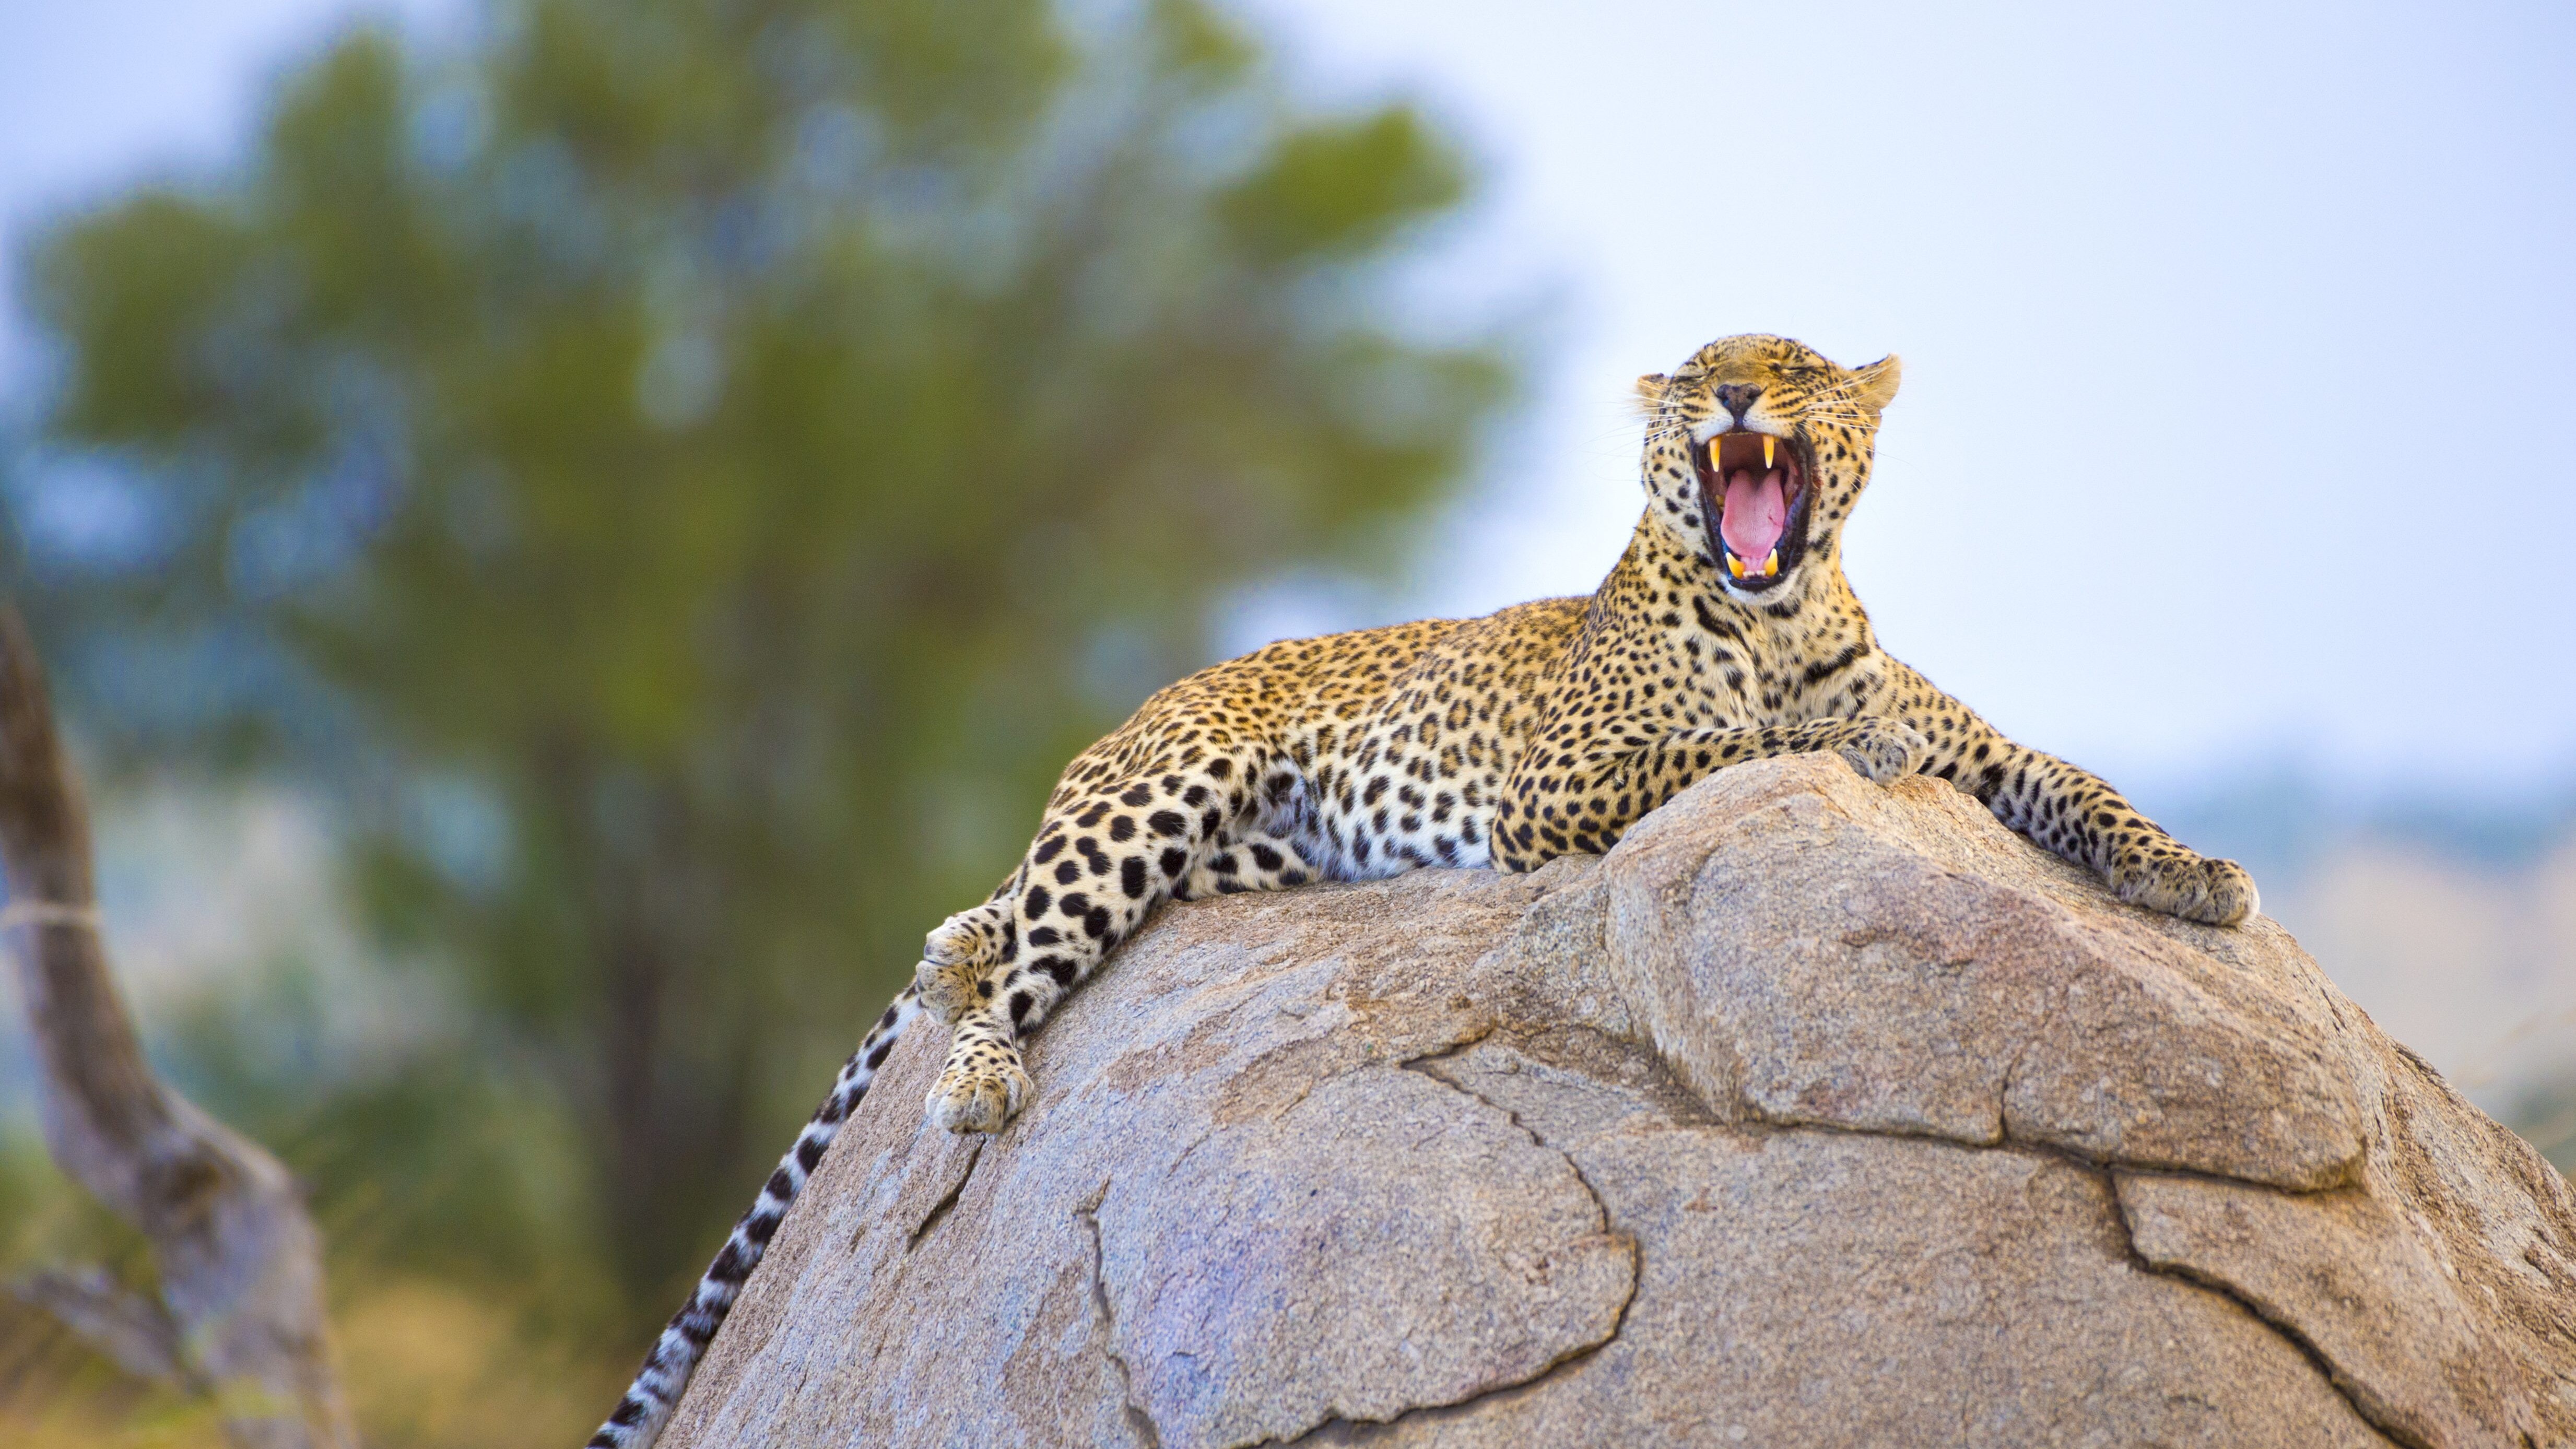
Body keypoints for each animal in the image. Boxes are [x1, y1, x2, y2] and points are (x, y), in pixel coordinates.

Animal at [587, 334, 2257, 1448]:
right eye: (1700, 377)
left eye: (1786, 369)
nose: (1729, 401)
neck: (1778, 610)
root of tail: (1137, 708)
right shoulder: (1561, 780)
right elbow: (1738, 739)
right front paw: (1840, 735)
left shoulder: (1991, 751)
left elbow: (2073, 785)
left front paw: (2194, 875)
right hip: (1156, 796)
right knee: (1025, 955)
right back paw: (976, 1061)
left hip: (1246, 847)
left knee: (1011, 921)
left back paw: (953, 950)